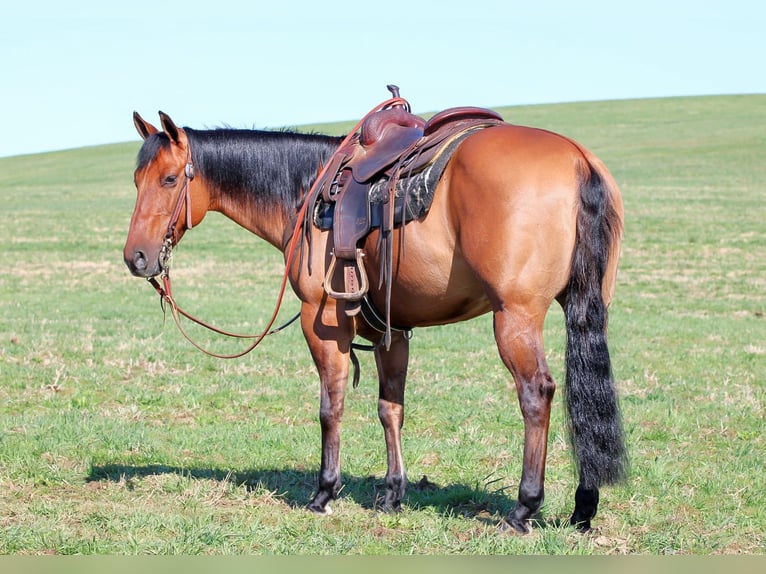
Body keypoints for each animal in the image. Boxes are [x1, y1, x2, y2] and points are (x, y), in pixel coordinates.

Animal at [123, 102, 627, 533]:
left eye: (170, 179)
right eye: (136, 179)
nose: (137, 258)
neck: (306, 190)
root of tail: (578, 159)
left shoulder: (321, 321)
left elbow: (331, 407)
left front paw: (324, 492)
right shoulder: (393, 331)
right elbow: (391, 409)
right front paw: (391, 493)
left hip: (515, 317)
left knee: (537, 394)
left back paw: (524, 507)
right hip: (585, 307)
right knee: (584, 394)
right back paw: (584, 506)